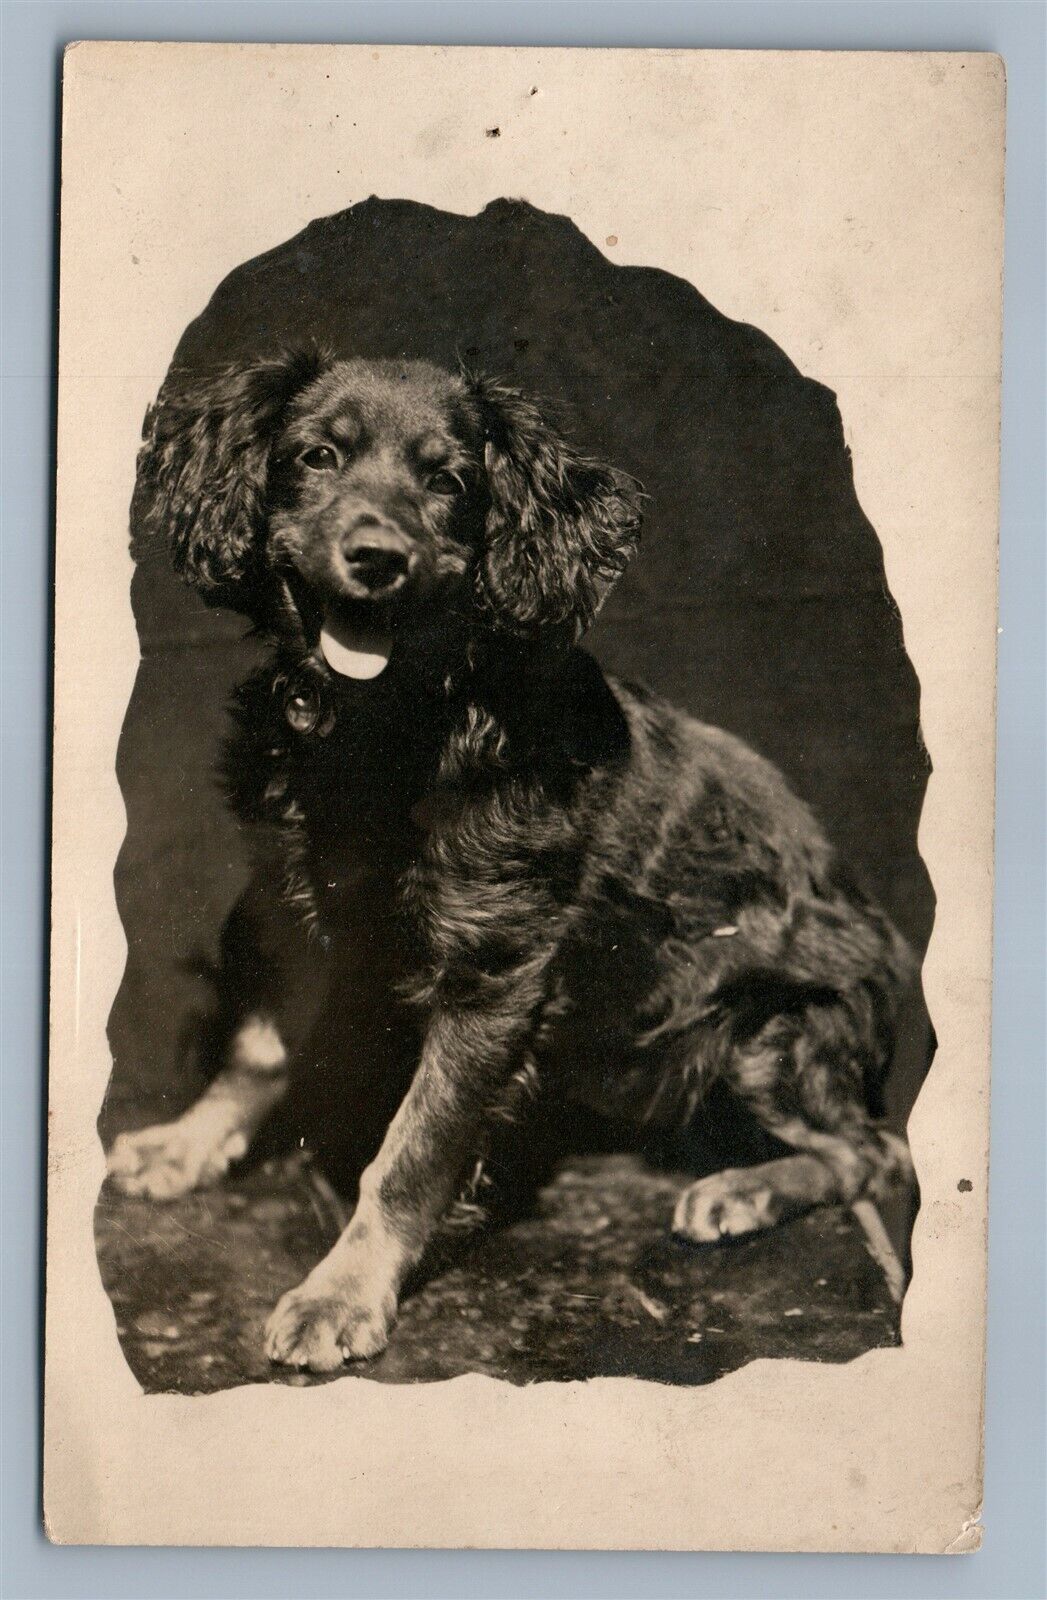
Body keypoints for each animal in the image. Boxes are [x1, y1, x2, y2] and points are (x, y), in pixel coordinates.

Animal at [104, 353, 909, 1376]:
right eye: (318, 457)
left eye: (448, 482)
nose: (376, 557)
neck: (389, 724)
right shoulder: (285, 903)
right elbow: (255, 1047)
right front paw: (188, 1143)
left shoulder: (492, 972)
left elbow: (410, 1150)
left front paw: (342, 1292)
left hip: (767, 1026)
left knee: (873, 1152)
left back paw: (743, 1190)